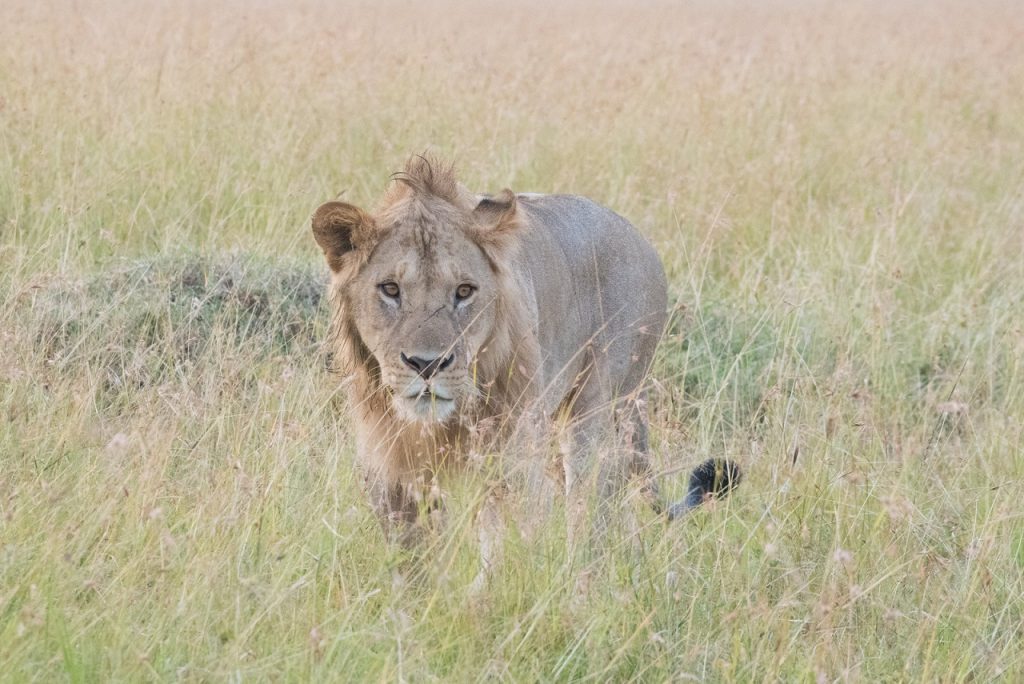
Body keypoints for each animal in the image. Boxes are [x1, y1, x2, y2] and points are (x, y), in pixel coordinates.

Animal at [309, 156, 737, 577]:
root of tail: (637, 236)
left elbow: (504, 548)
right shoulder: (388, 466)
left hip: (598, 407)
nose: (426, 365)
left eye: (464, 291)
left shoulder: (512, 461)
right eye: (390, 289)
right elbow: (411, 560)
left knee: (591, 509)